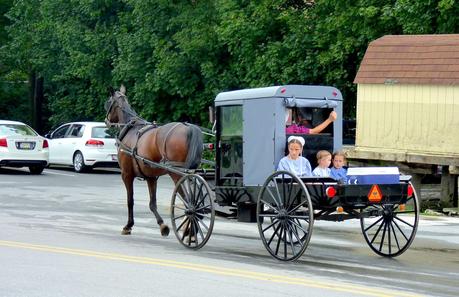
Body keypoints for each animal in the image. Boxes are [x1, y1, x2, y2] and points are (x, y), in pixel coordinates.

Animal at [107, 85, 204, 236]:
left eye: (108, 102)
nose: (106, 121)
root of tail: (189, 128)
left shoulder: (126, 174)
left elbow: (130, 200)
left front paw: (128, 226)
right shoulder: (151, 177)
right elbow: (152, 203)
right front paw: (162, 225)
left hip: (177, 174)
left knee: (189, 201)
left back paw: (191, 229)